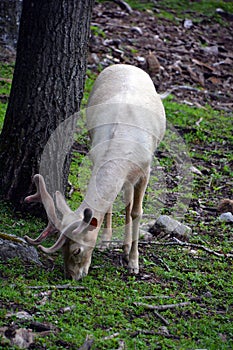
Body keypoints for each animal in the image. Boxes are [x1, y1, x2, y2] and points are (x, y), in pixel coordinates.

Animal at [24, 65, 165, 278]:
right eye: (62, 249)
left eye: (77, 250)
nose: (72, 276)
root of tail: (126, 65)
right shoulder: (94, 157)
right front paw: (109, 242)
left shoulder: (145, 169)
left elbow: (137, 212)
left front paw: (134, 263)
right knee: (123, 198)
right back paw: (108, 240)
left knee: (128, 200)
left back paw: (125, 249)